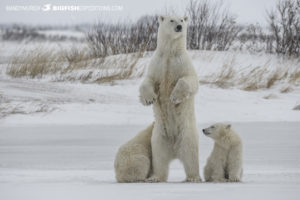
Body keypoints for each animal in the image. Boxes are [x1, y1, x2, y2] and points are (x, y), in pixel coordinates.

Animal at [139, 14, 200, 182]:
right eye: (172, 20)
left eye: (182, 20)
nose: (179, 27)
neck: (170, 53)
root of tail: (174, 150)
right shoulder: (157, 63)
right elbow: (148, 80)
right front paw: (148, 99)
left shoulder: (182, 62)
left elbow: (190, 80)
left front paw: (174, 97)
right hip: (159, 136)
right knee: (159, 157)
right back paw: (155, 177)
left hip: (186, 134)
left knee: (190, 153)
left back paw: (193, 177)